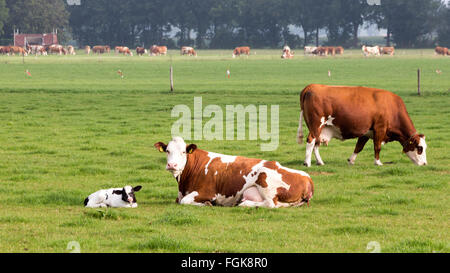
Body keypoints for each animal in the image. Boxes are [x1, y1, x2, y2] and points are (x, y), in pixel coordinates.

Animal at [154, 137, 312, 207]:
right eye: (167, 151)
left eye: (183, 152)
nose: (172, 165)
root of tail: (308, 178)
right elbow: (178, 200)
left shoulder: (208, 192)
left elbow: (185, 201)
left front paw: (207, 204)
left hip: (265, 181)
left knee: (270, 204)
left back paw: (244, 204)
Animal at [298, 84, 428, 167]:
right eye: (420, 148)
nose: (424, 164)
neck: (392, 108)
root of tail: (312, 86)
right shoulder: (380, 129)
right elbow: (377, 147)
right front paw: (378, 162)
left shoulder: (366, 132)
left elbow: (358, 147)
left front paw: (351, 160)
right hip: (316, 125)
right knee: (311, 141)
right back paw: (307, 163)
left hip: (320, 128)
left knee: (316, 143)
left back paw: (320, 162)